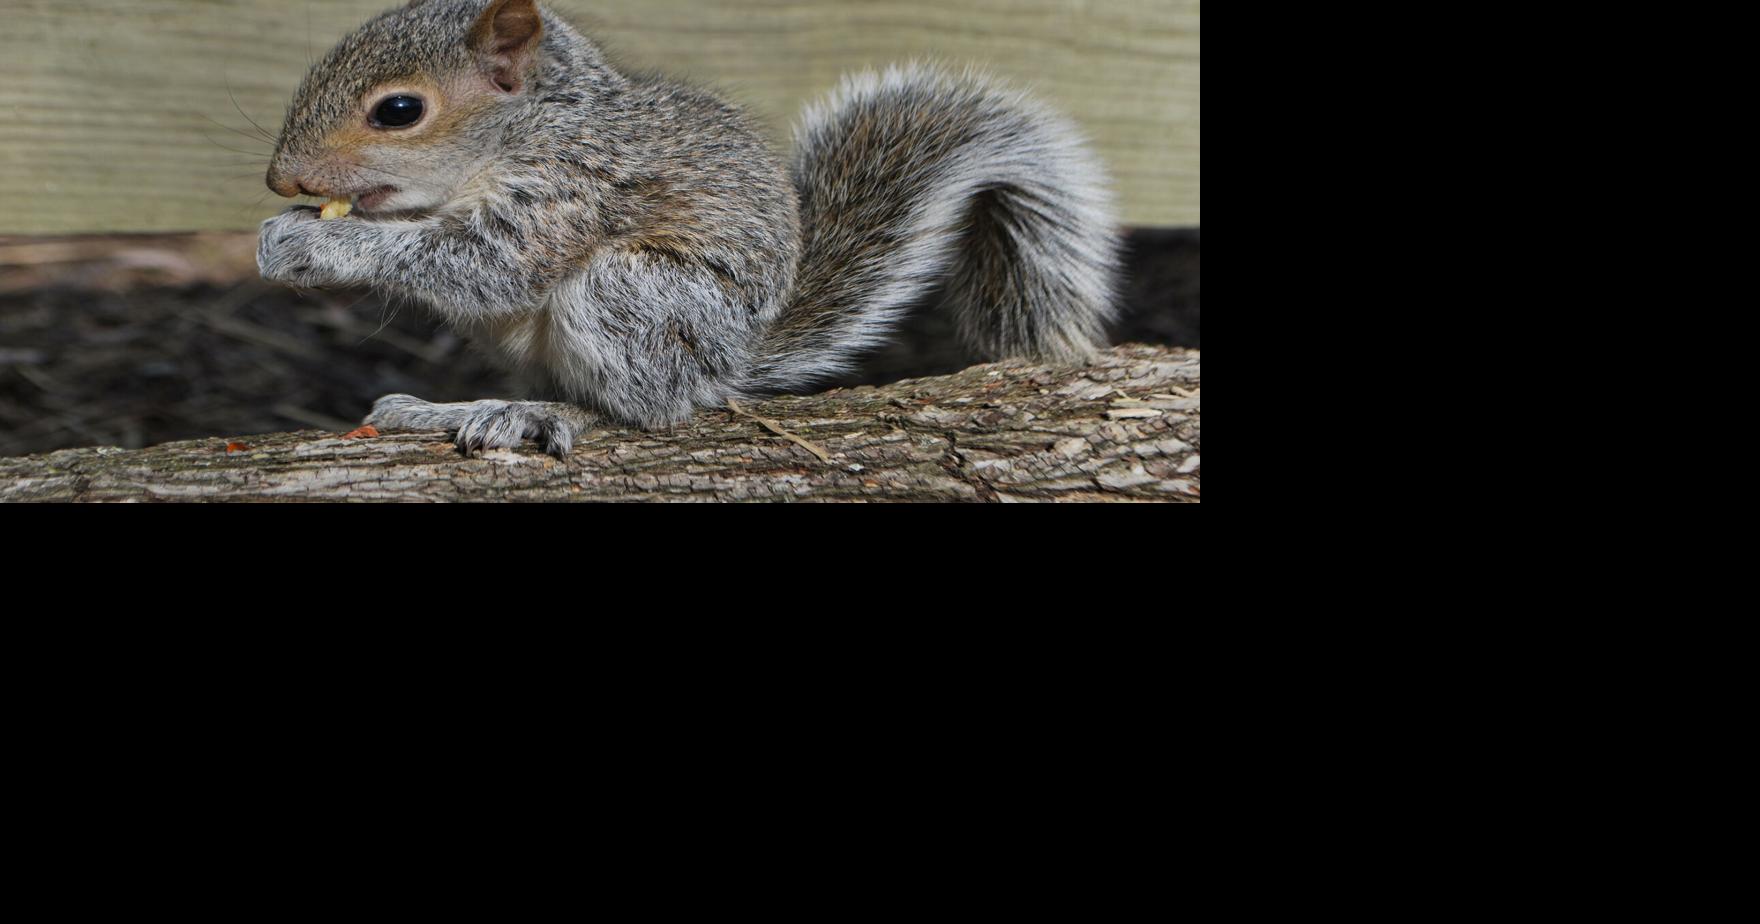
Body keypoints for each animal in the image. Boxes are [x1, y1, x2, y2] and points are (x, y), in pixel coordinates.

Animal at [258, 0, 1121, 456]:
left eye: (399, 110)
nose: (282, 180)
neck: (525, 131)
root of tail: (729, 362)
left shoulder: (572, 191)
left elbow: (486, 263)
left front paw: (317, 244)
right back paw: (447, 409)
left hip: (635, 296)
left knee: (649, 409)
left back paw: (546, 416)